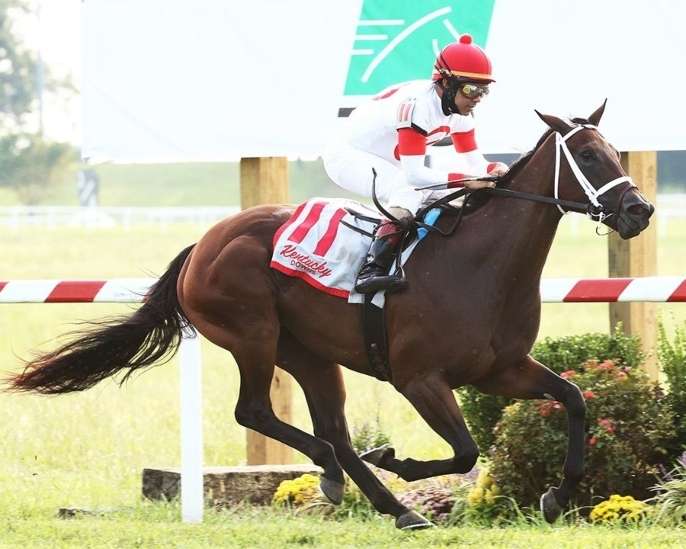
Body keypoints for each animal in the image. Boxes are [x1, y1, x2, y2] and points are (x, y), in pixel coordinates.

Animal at [8, 102, 654, 529]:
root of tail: (201, 245)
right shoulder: (419, 378)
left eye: (616, 151)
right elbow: (467, 452)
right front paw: (399, 459)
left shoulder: (501, 369)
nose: (640, 210)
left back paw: (386, 502)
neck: (481, 265)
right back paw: (352, 480)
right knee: (258, 412)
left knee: (336, 433)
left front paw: (556, 496)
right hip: (253, 333)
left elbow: (573, 398)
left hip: (311, 354)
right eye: (589, 155)